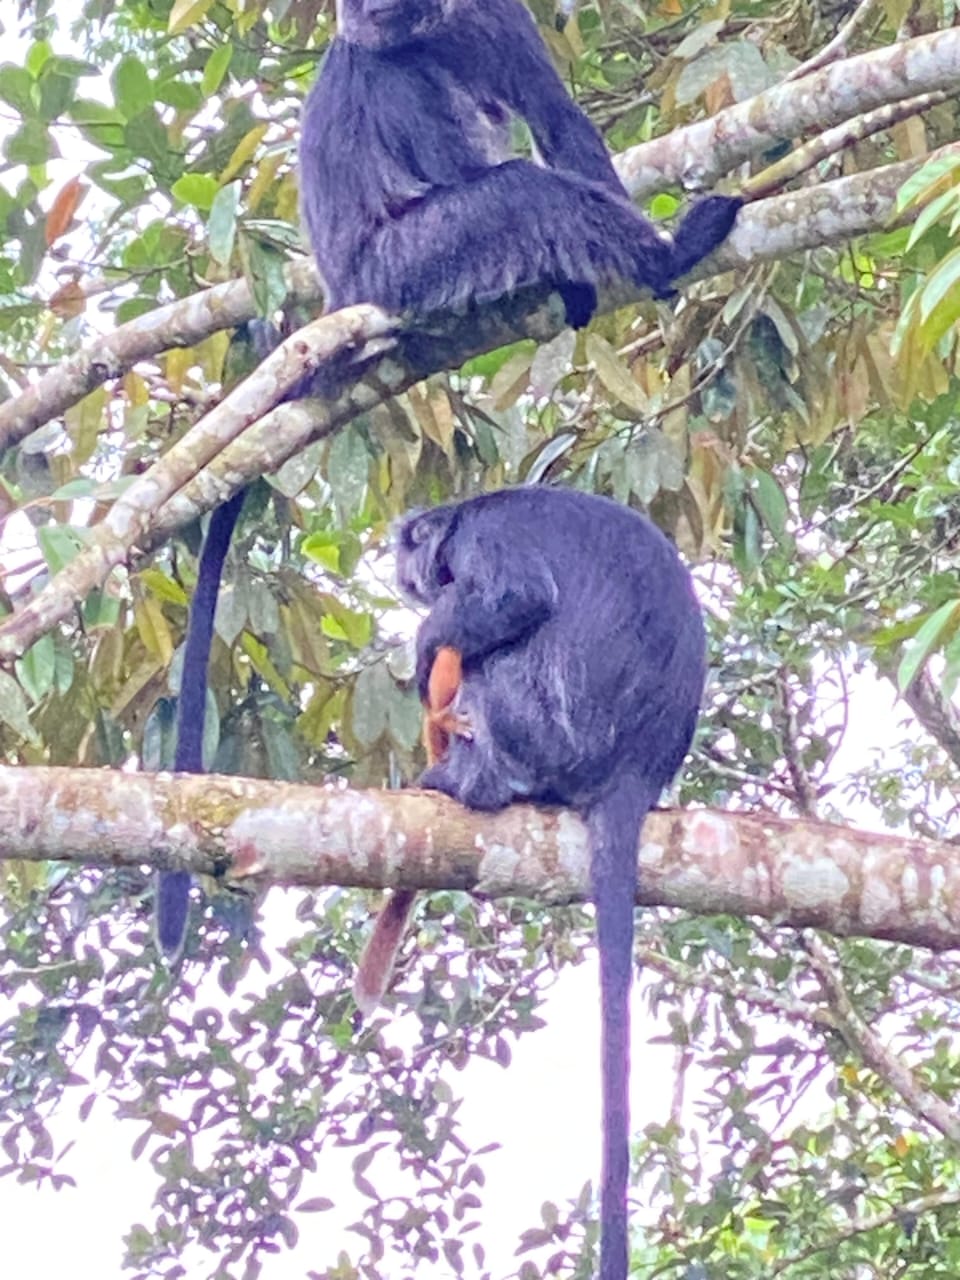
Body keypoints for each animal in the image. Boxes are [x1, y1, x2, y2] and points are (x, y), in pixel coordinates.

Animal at [362, 486, 706, 1280]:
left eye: (411, 550)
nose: (404, 575)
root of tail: (635, 772)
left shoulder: (489, 539)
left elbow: (516, 598)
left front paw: (424, 641)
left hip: (549, 727)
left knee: (494, 662)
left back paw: (472, 777)